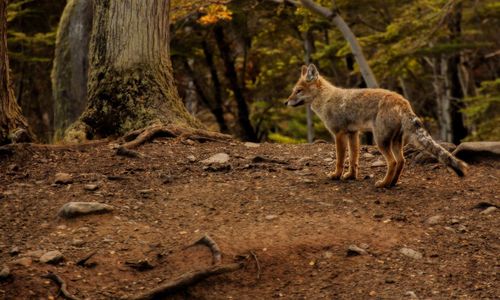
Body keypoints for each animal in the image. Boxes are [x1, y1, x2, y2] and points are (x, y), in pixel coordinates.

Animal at [288, 64, 466, 188]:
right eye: (294, 90)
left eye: (298, 91)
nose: (285, 102)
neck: (326, 99)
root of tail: (403, 101)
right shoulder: (353, 133)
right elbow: (353, 159)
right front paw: (350, 176)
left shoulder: (339, 134)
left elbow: (340, 159)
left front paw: (336, 175)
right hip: (394, 142)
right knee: (401, 161)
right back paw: (392, 183)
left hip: (380, 142)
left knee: (393, 162)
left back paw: (383, 184)